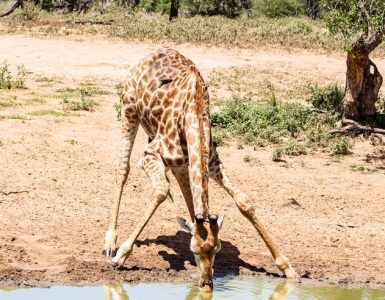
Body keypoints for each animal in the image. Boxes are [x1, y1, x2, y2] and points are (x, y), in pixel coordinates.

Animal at [103, 48, 298, 292]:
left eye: (218, 249)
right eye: (194, 250)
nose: (206, 284)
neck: (193, 112)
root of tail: (152, 53)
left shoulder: (212, 162)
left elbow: (244, 201)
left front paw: (287, 267)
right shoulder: (149, 155)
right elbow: (160, 191)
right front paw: (121, 255)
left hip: (181, 161)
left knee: (185, 189)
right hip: (129, 110)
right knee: (123, 169)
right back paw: (110, 243)